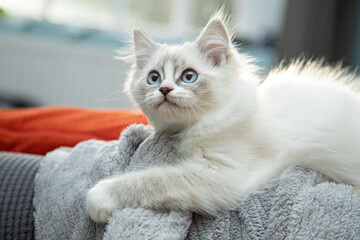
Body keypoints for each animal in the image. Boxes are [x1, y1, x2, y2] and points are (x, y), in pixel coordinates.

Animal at [86, 13, 360, 223]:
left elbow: (153, 179)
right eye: (154, 78)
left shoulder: (224, 175)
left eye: (188, 76)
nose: (164, 89)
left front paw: (99, 196)